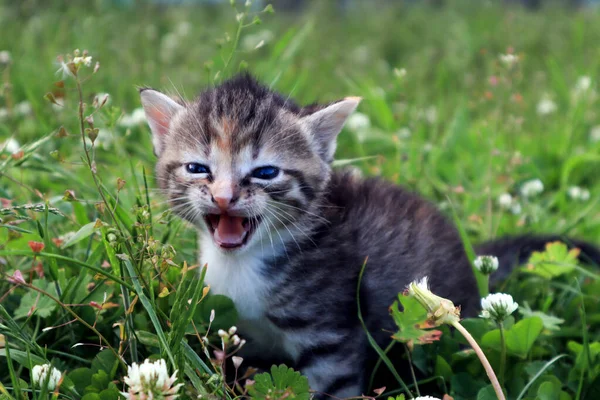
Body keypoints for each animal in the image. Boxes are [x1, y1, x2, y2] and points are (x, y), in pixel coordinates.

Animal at [141, 74, 600, 396]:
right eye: (198, 168)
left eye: (266, 172)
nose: (223, 197)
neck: (243, 263)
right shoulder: (240, 340)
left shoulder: (331, 336)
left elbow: (332, 387)